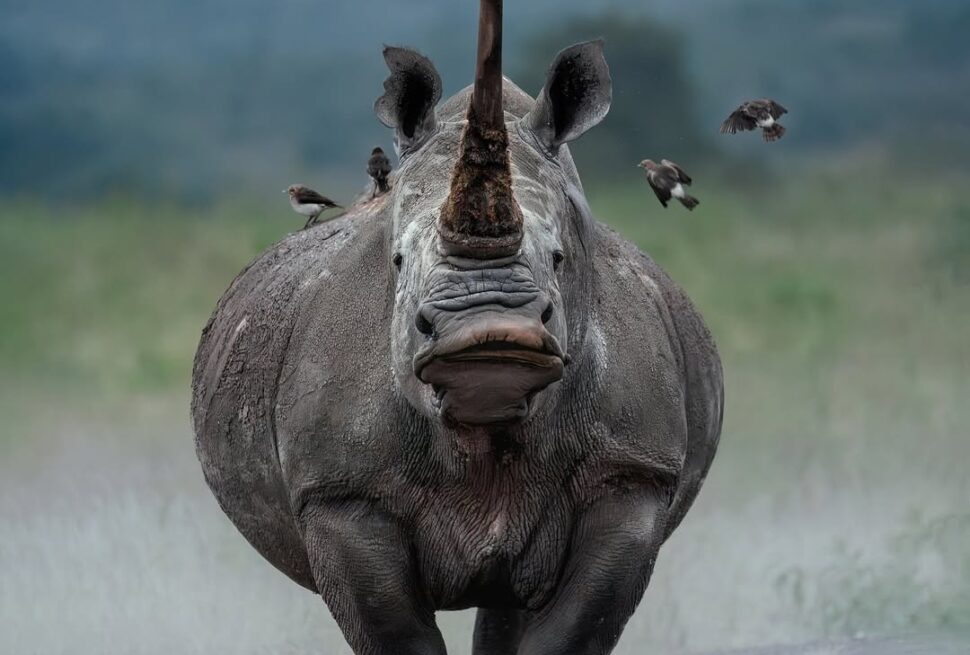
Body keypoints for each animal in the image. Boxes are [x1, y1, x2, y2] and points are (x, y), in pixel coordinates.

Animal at [191, 1, 723, 653]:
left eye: (559, 260)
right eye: (397, 261)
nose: (487, 329)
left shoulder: (631, 474)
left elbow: (572, 630)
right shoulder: (341, 494)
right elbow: (396, 634)